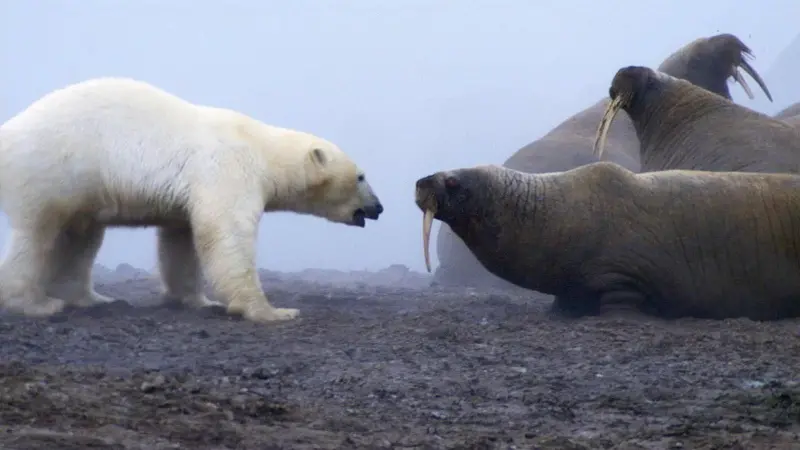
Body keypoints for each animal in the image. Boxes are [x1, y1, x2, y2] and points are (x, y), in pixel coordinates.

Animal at [0, 77, 384, 323]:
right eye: (361, 176)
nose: (379, 207)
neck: (262, 148)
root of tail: (9, 131)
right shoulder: (230, 168)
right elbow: (228, 233)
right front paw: (272, 311)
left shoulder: (190, 196)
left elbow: (181, 240)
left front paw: (197, 300)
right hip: (53, 169)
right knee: (39, 235)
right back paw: (36, 304)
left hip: (81, 188)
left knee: (81, 237)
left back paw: (92, 298)